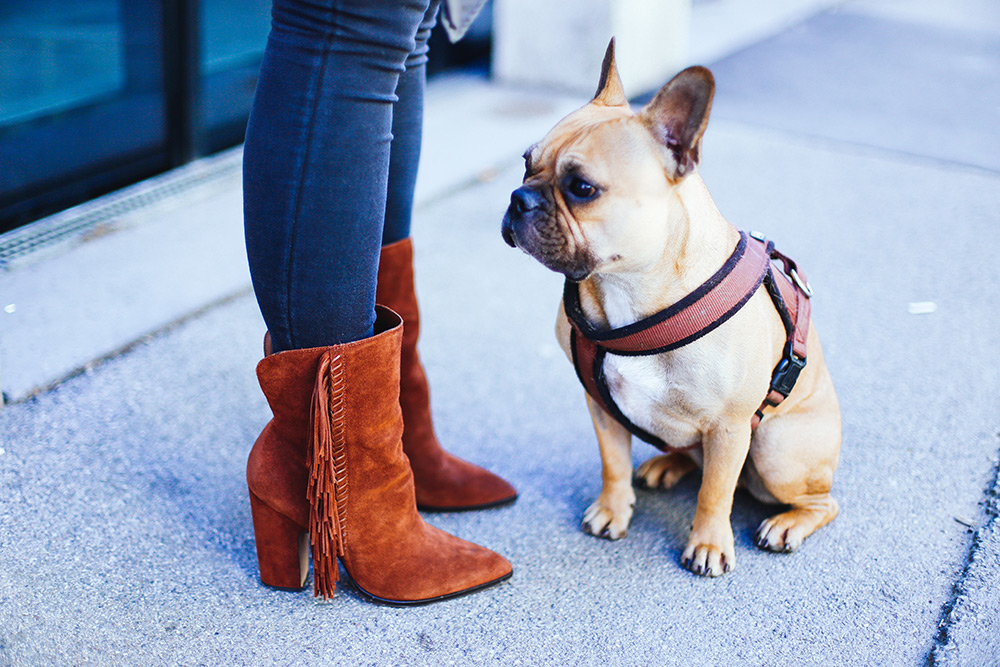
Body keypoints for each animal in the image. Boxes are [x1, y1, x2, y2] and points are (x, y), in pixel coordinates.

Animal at [504, 40, 840, 580]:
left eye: (582, 188)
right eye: (524, 163)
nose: (519, 198)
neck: (627, 284)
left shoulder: (729, 427)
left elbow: (716, 492)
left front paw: (707, 544)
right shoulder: (601, 406)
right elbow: (613, 463)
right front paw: (612, 510)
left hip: (777, 451)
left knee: (819, 501)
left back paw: (788, 524)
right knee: (689, 456)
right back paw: (667, 464)